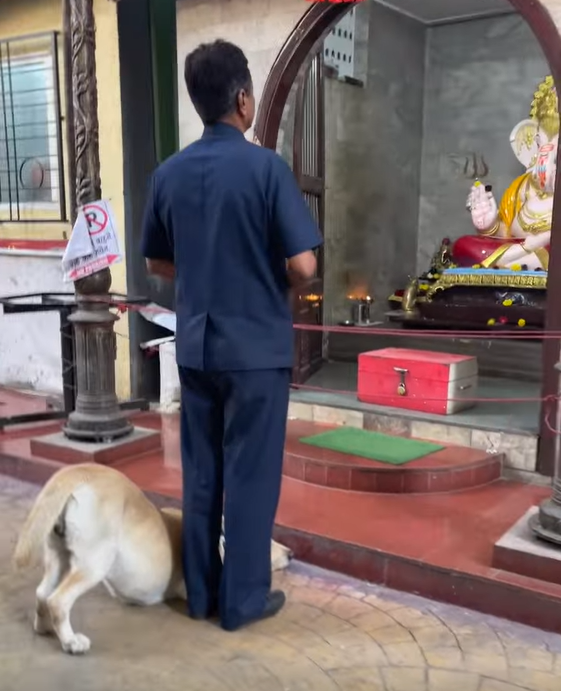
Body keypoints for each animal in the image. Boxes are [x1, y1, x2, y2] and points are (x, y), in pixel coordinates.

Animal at [13, 464, 290, 656]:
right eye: (267, 543)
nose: (291, 553)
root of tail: (80, 471)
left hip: (59, 556)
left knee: (42, 593)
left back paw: (44, 628)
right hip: (94, 563)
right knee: (58, 600)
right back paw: (71, 642)